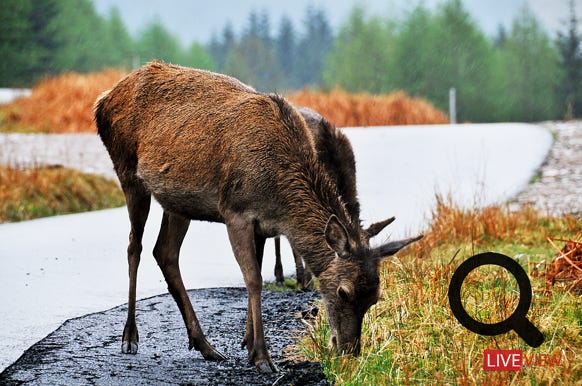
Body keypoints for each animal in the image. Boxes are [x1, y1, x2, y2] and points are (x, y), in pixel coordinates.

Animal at [97, 61, 424, 374]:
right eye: (343, 292)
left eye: (375, 297)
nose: (348, 351)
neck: (279, 190)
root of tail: (103, 100)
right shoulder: (236, 212)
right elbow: (254, 279)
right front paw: (262, 357)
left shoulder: (264, 224)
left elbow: (257, 268)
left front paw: (247, 343)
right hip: (127, 171)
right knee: (135, 246)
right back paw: (130, 338)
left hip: (177, 203)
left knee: (164, 252)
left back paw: (204, 345)